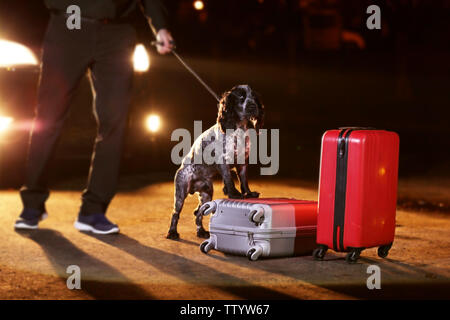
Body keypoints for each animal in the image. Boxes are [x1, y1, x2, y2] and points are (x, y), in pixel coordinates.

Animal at [166, 85, 264, 240]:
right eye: (241, 97)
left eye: (254, 97)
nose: (253, 106)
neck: (238, 128)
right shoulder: (223, 161)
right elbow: (229, 180)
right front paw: (234, 194)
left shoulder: (242, 162)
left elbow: (243, 181)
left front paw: (248, 194)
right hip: (181, 191)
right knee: (176, 213)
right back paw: (172, 232)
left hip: (207, 193)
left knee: (199, 214)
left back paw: (201, 232)